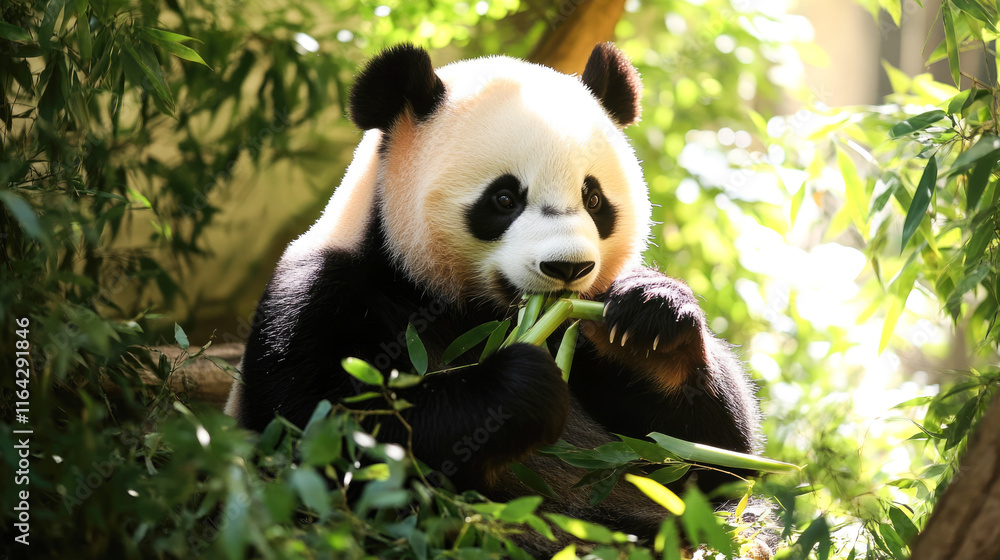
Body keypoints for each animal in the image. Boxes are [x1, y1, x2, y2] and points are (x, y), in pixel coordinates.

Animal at [226, 42, 762, 552]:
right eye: (504, 199)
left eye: (593, 199)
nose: (568, 268)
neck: (472, 310)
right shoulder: (320, 299)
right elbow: (328, 437)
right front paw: (519, 386)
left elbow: (708, 462)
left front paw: (650, 321)